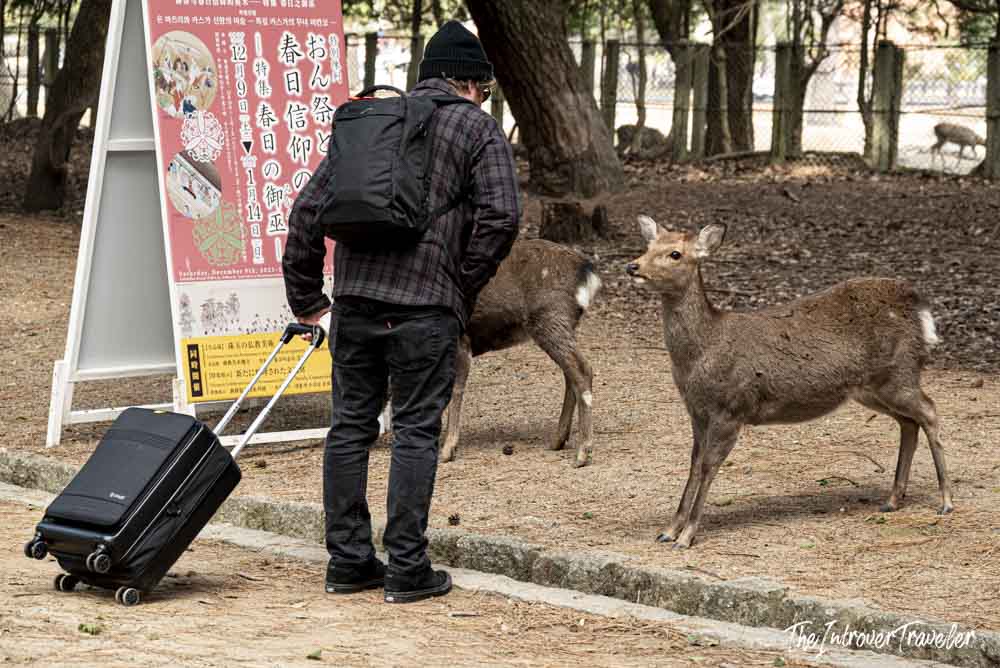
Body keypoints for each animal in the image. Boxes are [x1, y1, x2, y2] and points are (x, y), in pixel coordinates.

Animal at [440, 238, 601, 468]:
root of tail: (587, 272)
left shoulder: (462, 342)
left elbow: (454, 391)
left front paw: (448, 450)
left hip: (551, 318)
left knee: (582, 369)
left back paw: (582, 453)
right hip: (561, 325)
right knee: (571, 373)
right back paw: (558, 440)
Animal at [625, 216, 953, 549]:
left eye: (675, 254)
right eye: (648, 245)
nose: (633, 266)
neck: (700, 355)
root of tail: (918, 305)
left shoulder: (730, 408)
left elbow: (708, 466)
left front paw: (687, 535)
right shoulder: (697, 411)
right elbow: (693, 464)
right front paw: (668, 530)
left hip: (899, 373)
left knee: (930, 410)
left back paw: (946, 501)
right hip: (873, 388)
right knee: (908, 422)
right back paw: (893, 499)